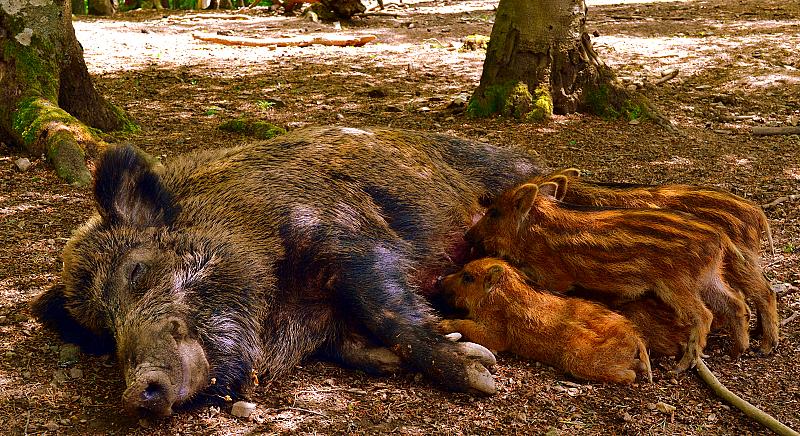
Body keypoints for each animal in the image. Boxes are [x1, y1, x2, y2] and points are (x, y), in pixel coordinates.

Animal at [31, 126, 544, 416]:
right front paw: (388, 361)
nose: (137, 391)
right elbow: (351, 344)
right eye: (102, 332)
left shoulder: (345, 231)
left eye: (136, 271)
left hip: (501, 165)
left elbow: (385, 308)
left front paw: (482, 373)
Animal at [438, 258, 652, 384]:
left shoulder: (496, 335)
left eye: (468, 277)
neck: (495, 294)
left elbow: (467, 325)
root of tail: (634, 336)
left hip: (579, 360)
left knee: (630, 376)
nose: (440, 280)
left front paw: (443, 324)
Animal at [465, 181, 751, 373]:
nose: (468, 236)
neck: (535, 232)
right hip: (709, 278)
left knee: (704, 315)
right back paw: (739, 350)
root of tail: (719, 237)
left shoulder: (556, 277)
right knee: (736, 303)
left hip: (678, 283)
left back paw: (681, 366)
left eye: (494, 213)